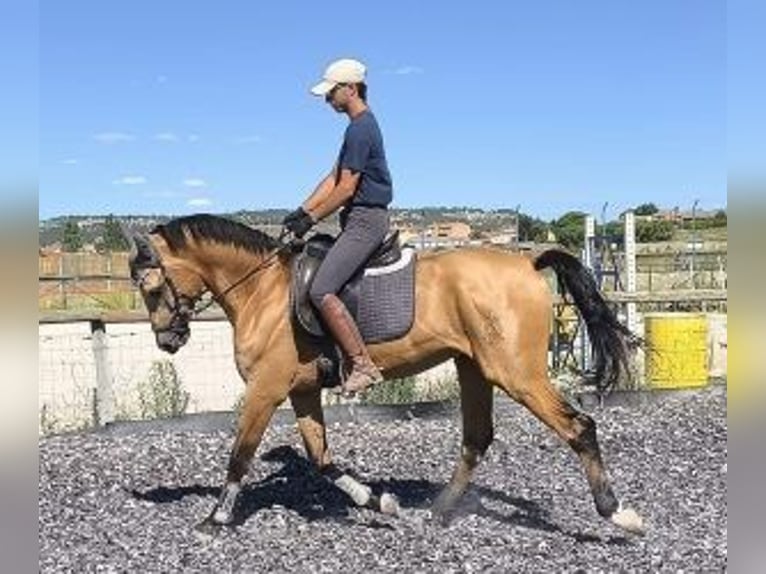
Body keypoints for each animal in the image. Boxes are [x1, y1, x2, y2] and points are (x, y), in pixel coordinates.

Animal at [129, 214, 644, 536]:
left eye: (150, 287)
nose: (167, 341)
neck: (262, 291)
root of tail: (525, 260)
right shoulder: (302, 392)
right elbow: (322, 459)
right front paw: (377, 501)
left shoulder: (265, 390)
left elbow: (240, 455)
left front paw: (215, 519)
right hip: (474, 367)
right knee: (476, 439)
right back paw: (437, 512)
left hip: (515, 373)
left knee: (578, 427)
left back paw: (618, 514)